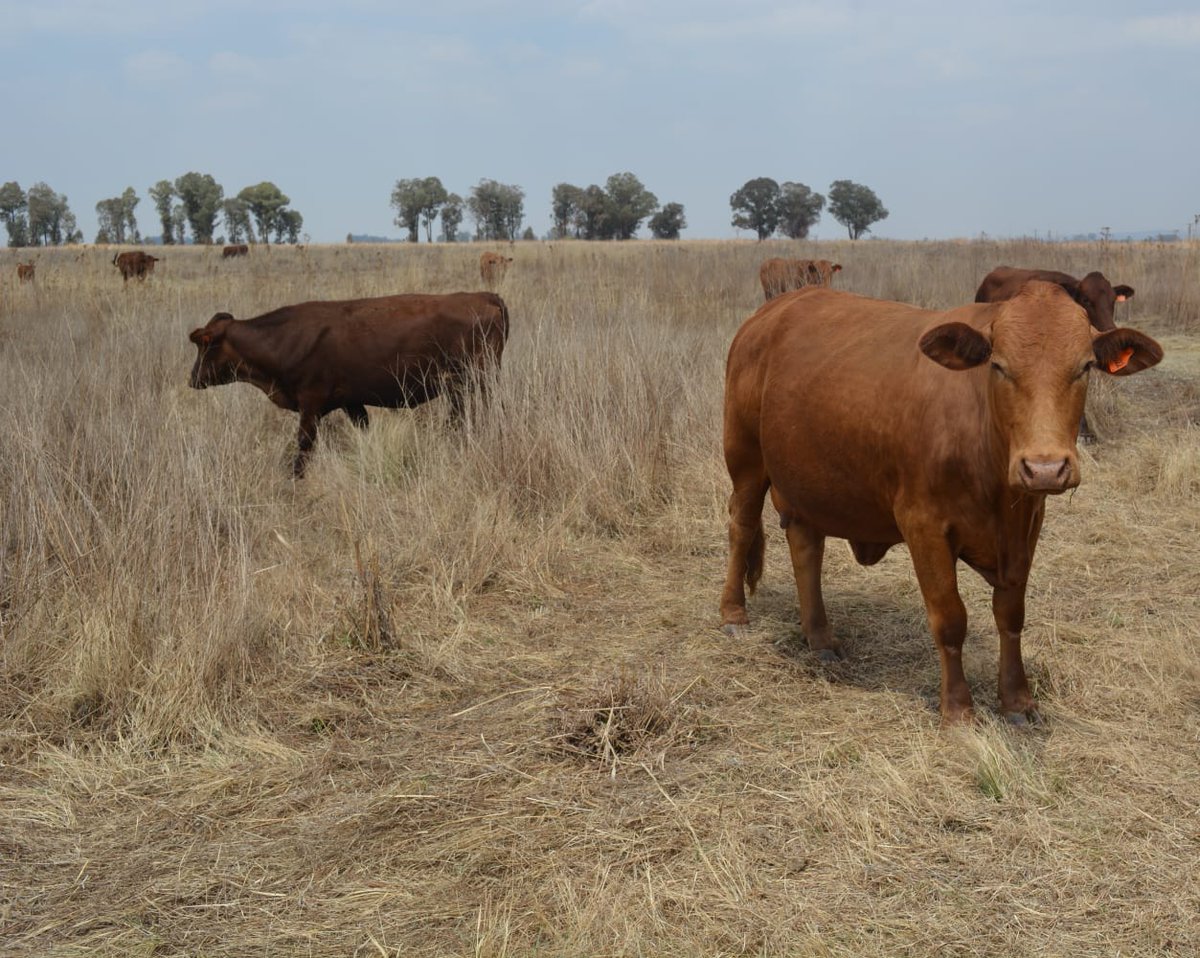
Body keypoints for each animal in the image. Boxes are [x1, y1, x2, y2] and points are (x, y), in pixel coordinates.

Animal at [188, 291, 510, 477]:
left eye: (205, 346)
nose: (192, 379)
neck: (283, 339)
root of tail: (484, 296)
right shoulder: (352, 402)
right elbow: (363, 431)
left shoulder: (311, 402)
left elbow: (304, 443)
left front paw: (294, 478)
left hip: (479, 379)